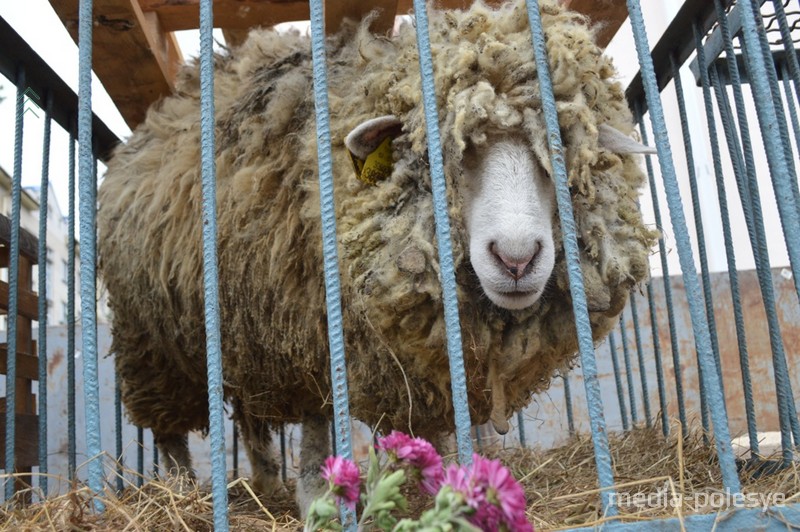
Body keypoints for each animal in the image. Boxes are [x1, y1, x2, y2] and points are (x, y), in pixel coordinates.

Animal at [97, 0, 656, 512]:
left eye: (561, 153)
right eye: (444, 154)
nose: (516, 259)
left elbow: (445, 428)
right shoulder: (305, 325)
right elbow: (317, 426)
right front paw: (318, 498)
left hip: (241, 335)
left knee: (253, 420)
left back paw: (266, 481)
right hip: (153, 342)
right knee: (169, 430)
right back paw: (180, 490)